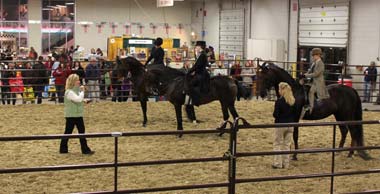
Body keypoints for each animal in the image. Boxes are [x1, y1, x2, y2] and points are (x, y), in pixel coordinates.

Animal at [113, 55, 243, 132]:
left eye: (118, 66)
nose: (115, 79)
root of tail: (232, 80)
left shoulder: (142, 95)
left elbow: (144, 109)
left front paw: (144, 122)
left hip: (226, 102)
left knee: (230, 116)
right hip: (226, 103)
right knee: (231, 116)